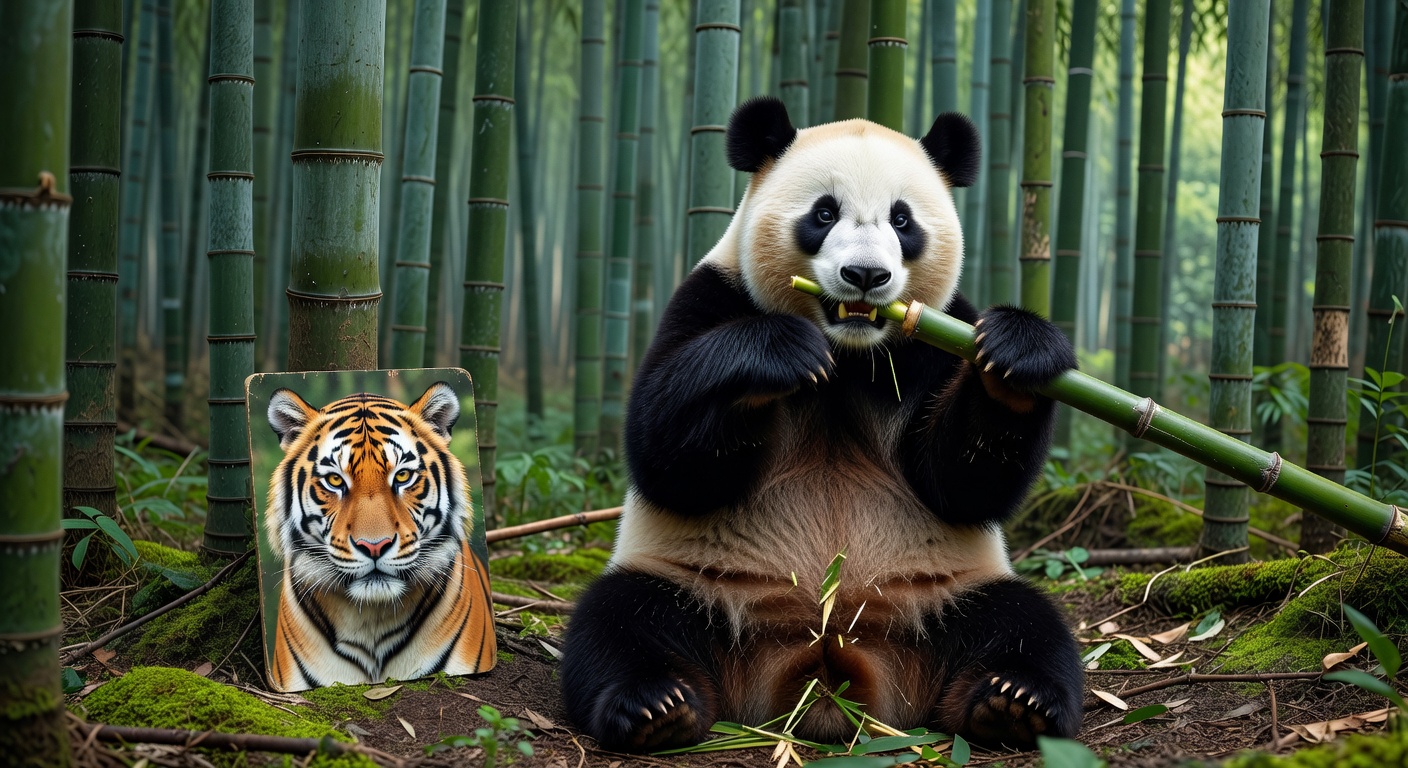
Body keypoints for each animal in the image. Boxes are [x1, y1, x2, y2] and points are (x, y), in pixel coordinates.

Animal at [560, 96, 1085, 753]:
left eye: (902, 220)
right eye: (824, 212)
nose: (866, 276)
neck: (849, 352)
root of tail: (824, 669)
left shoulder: (937, 334)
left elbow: (961, 484)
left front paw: (1017, 355)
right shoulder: (712, 296)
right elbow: (665, 455)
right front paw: (779, 354)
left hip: (942, 591)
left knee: (1025, 622)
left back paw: (1013, 701)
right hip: (700, 583)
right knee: (619, 619)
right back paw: (655, 705)